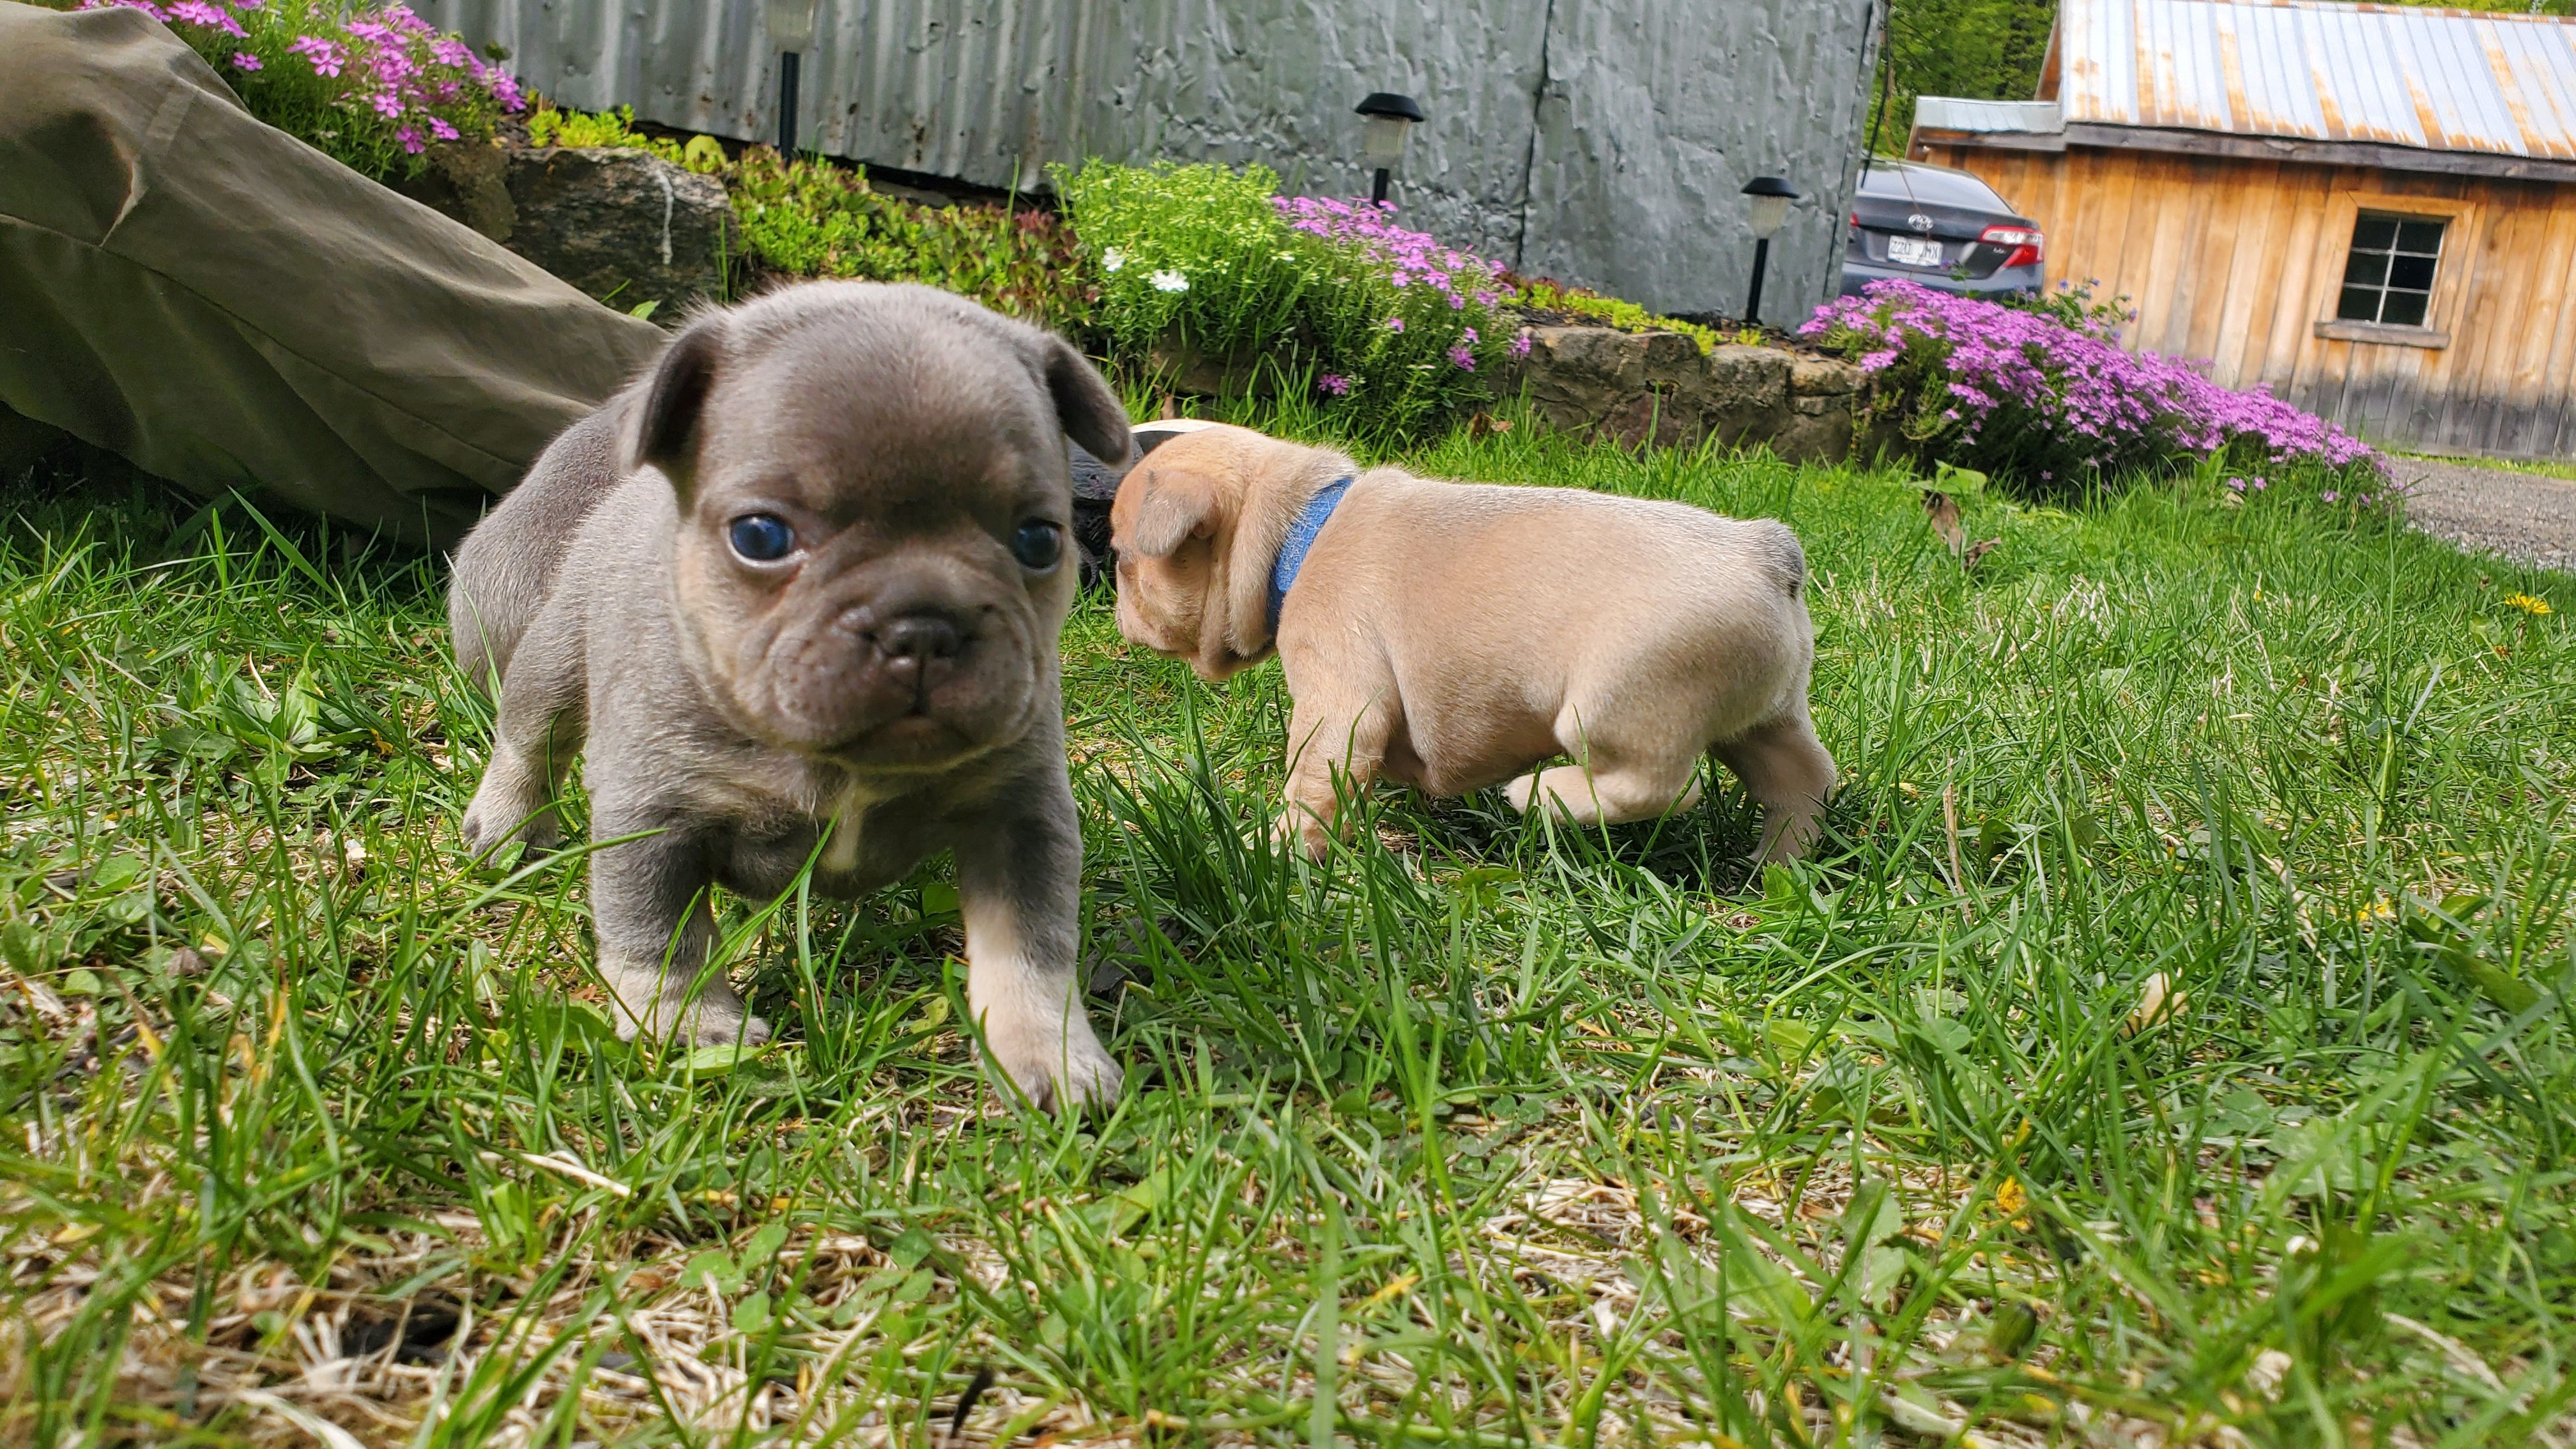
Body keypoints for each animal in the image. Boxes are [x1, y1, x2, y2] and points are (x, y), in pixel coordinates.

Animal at [448, 279, 1133, 1103]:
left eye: (1039, 540)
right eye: (761, 537)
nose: (923, 626)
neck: (843, 762)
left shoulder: (1018, 817)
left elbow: (1032, 951)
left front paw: (1050, 1053)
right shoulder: (654, 817)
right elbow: (659, 935)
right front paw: (689, 1027)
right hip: (552, 656)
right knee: (529, 739)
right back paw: (507, 827)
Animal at [1107, 422, 1834, 861]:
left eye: (1120, 558)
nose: (1117, 614)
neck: (1296, 532)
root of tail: (1765, 554)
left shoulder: (1336, 698)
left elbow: (1312, 782)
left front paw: (1273, 849)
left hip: (1619, 702)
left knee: (1661, 786)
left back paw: (1545, 796)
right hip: (1766, 717)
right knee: (1801, 779)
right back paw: (1780, 866)